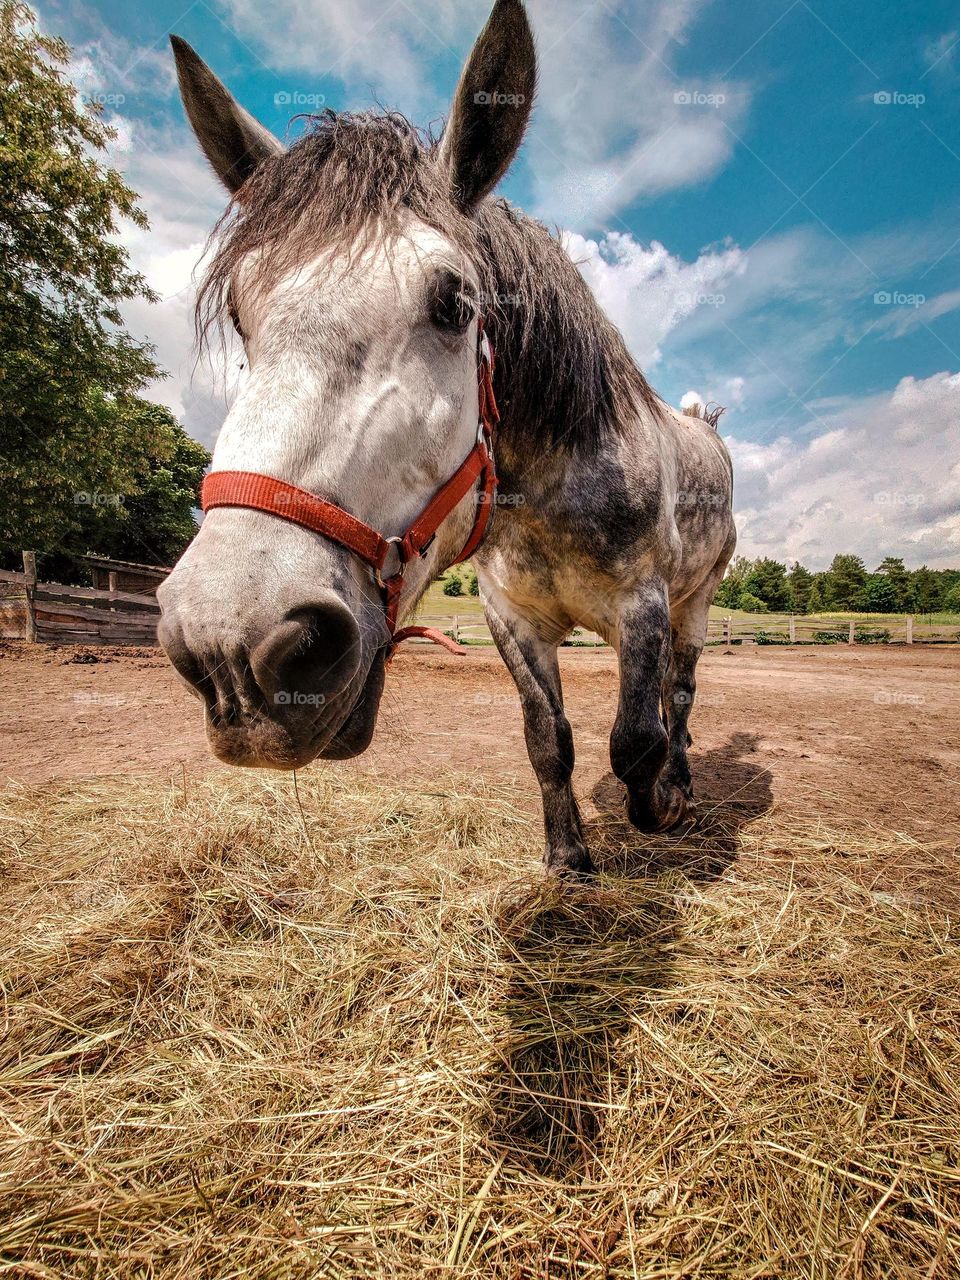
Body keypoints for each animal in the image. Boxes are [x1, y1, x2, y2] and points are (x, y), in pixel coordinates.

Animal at [158, 0, 737, 878]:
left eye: (455, 302)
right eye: (239, 314)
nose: (229, 645)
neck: (552, 491)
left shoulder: (642, 605)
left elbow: (635, 738)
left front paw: (657, 804)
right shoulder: (511, 621)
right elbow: (547, 740)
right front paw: (568, 856)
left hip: (695, 601)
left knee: (681, 689)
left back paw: (681, 781)